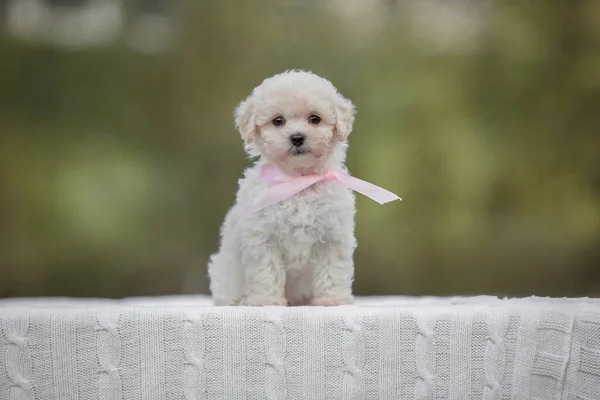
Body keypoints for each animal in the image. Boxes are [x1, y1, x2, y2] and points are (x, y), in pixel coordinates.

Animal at [209, 70, 396, 306]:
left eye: (314, 119)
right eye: (278, 121)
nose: (297, 137)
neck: (299, 180)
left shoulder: (333, 235)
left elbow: (331, 270)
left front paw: (331, 300)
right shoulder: (261, 236)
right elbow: (266, 271)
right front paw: (266, 300)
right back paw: (240, 301)